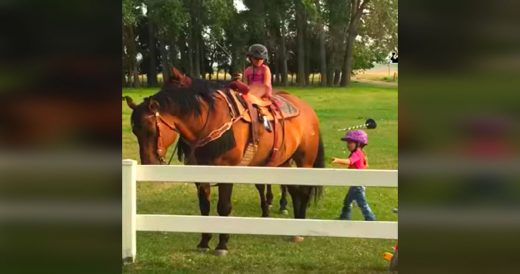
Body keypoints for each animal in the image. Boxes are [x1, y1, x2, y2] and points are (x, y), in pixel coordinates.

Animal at [123, 72, 322, 255]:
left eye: (150, 129)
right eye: (135, 131)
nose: (148, 163)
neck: (209, 123)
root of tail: (307, 109)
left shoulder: (226, 172)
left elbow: (223, 207)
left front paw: (222, 244)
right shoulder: (200, 175)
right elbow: (204, 208)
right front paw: (204, 242)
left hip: (304, 161)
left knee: (303, 191)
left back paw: (299, 230)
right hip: (284, 162)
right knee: (293, 189)